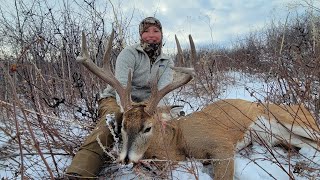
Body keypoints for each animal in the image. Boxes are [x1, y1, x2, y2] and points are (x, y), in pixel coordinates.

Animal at [76, 30, 318, 179]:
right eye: (123, 126)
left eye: (148, 128)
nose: (126, 159)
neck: (179, 140)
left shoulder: (222, 145)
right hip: (285, 138)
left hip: (293, 121)